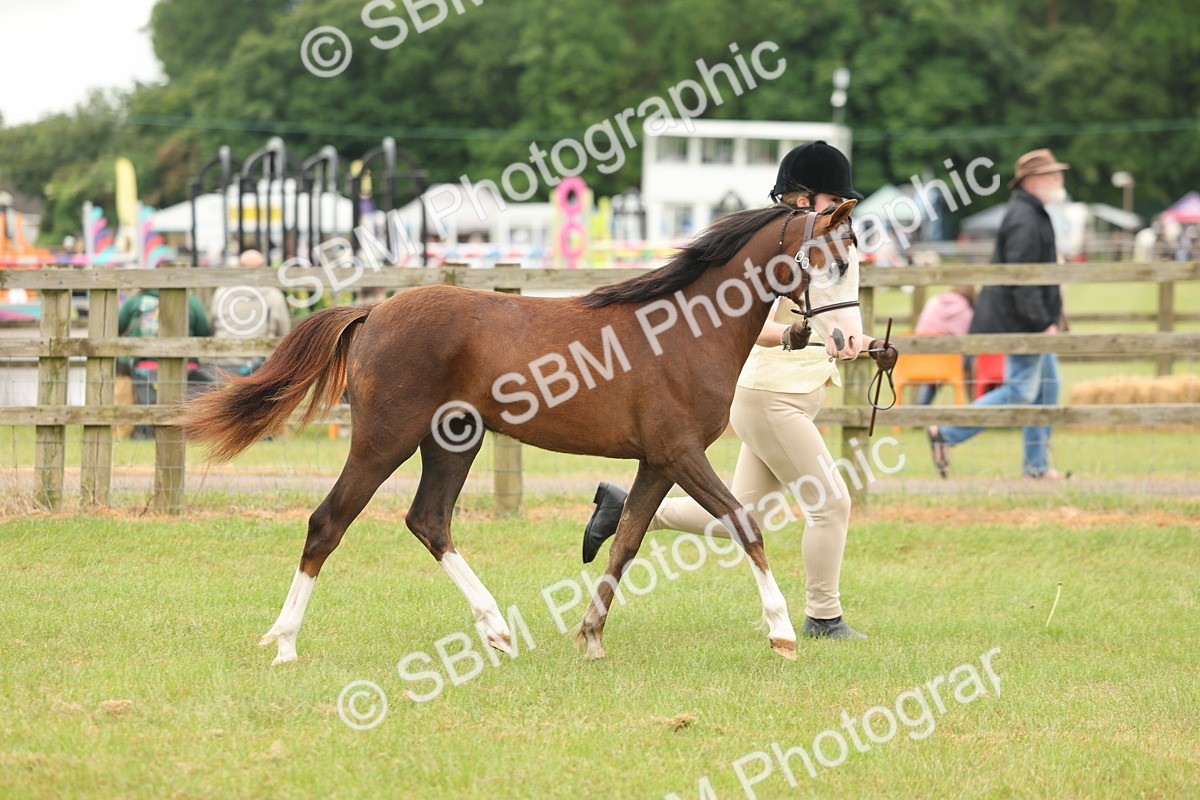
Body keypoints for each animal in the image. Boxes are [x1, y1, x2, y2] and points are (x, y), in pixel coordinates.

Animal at [181, 199, 864, 665]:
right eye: (834, 261)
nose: (848, 340)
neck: (686, 331)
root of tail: (374, 309)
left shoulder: (656, 462)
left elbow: (626, 543)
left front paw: (590, 637)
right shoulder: (682, 454)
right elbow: (744, 525)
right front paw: (782, 634)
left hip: (454, 440)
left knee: (429, 520)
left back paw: (497, 629)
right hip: (385, 440)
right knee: (329, 522)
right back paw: (285, 643)